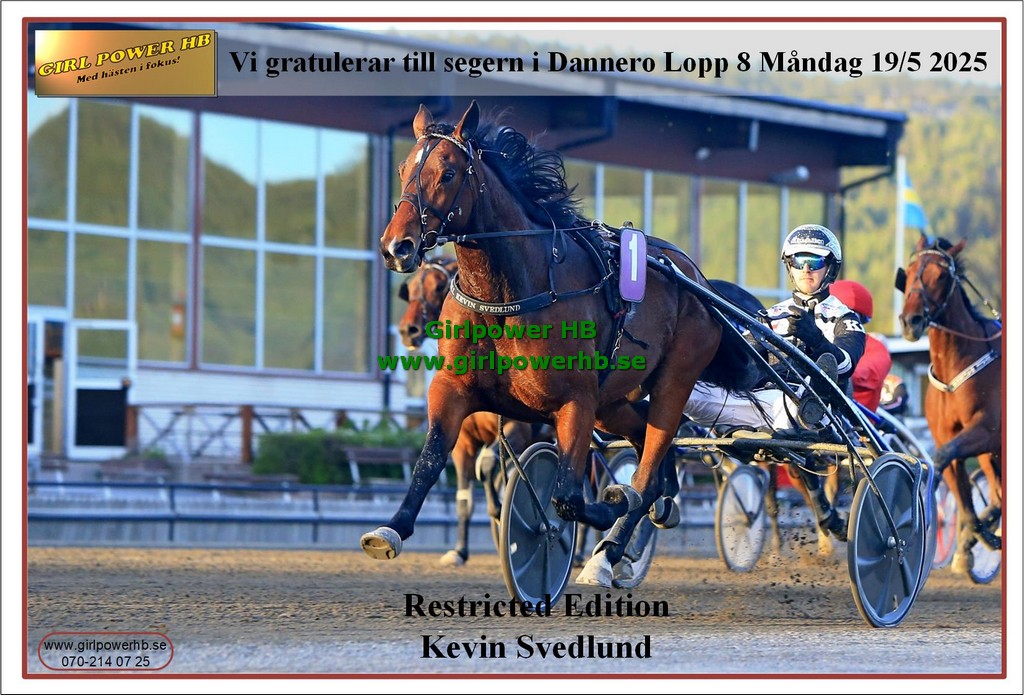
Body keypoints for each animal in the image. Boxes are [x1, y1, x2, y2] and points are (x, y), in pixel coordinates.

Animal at [396, 256, 550, 566]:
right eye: (413, 287)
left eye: (438, 286)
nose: (408, 330)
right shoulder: (464, 440)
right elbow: (465, 498)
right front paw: (459, 550)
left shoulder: (517, 427)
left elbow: (488, 465)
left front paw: (500, 508)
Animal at [898, 236, 1002, 577]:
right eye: (911, 272)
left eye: (942, 276)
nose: (911, 321)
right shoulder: (952, 435)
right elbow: (960, 486)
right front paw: (972, 538)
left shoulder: (986, 430)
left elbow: (942, 457)